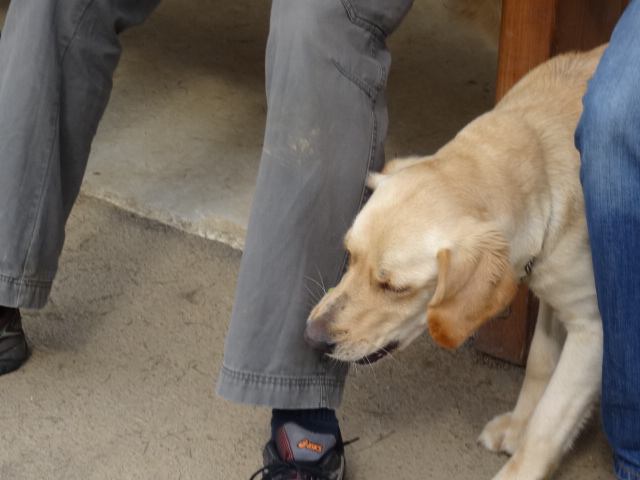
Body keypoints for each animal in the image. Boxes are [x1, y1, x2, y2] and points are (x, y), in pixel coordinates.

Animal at [304, 44, 607, 480]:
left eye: (394, 287)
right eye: (350, 256)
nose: (311, 338)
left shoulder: (594, 329)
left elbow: (549, 422)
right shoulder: (555, 290)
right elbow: (539, 364)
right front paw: (518, 425)